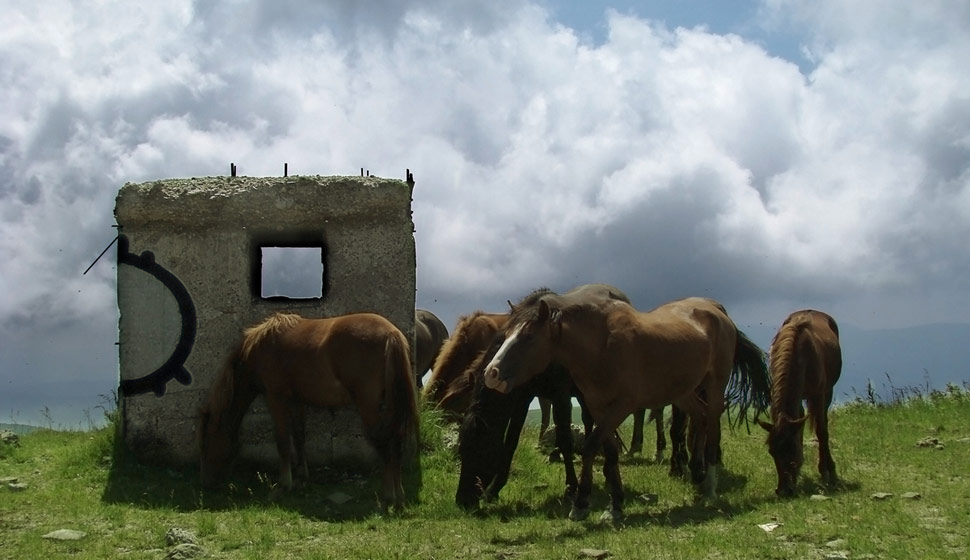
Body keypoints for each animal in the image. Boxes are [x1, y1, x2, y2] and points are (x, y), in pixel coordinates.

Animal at [198, 312, 420, 510]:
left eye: (208, 440)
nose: (206, 482)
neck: (261, 348)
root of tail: (391, 333)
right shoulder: (297, 401)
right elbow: (299, 436)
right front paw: (301, 477)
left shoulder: (275, 398)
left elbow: (283, 441)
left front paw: (283, 484)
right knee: (395, 440)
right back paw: (399, 496)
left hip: (369, 406)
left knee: (385, 442)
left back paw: (389, 495)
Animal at [483, 296, 771, 521]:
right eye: (506, 336)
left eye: (529, 337)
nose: (491, 373)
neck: (602, 345)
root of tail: (717, 311)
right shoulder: (599, 407)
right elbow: (610, 453)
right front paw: (616, 504)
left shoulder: (622, 406)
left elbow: (590, 446)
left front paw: (581, 503)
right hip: (684, 391)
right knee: (699, 417)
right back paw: (697, 476)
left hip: (713, 385)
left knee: (711, 425)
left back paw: (710, 486)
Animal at [758, 310, 842, 497]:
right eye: (772, 452)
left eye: (792, 449)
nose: (783, 490)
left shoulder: (818, 394)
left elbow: (821, 431)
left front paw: (826, 471)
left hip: (827, 392)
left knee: (823, 424)